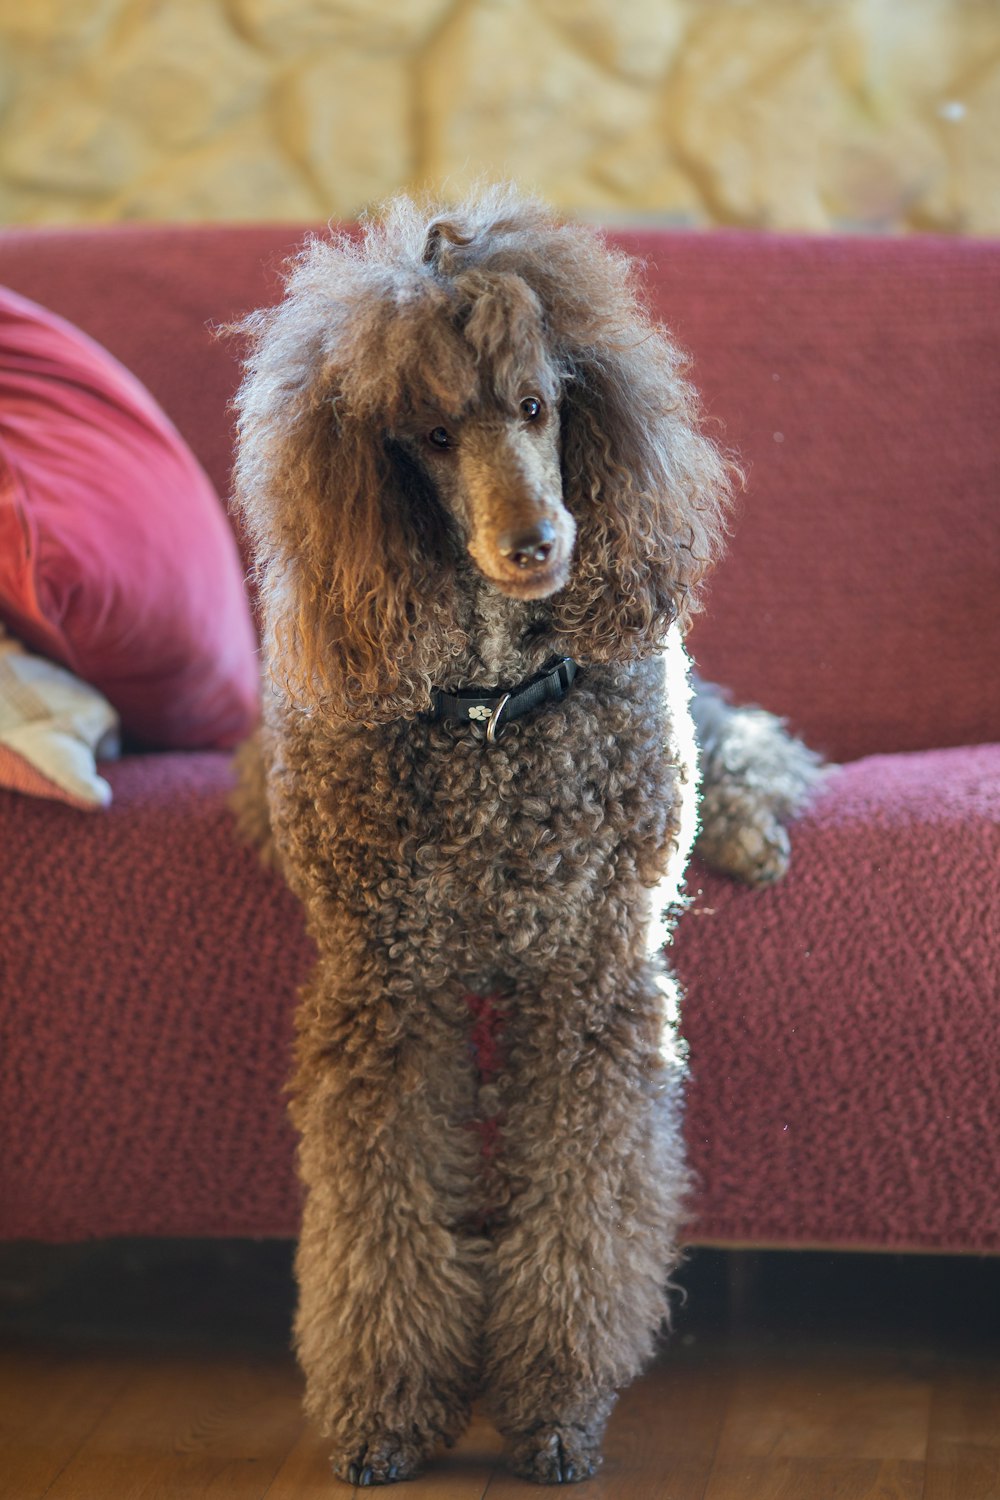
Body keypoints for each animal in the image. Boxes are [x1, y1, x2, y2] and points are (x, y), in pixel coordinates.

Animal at [232, 190, 821, 1488]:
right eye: (431, 434)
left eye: (541, 407)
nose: (541, 543)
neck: (496, 715)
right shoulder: (385, 994)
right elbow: (380, 1215)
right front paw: (388, 1410)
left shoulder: (589, 982)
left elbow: (585, 1210)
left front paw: (556, 1406)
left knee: (747, 737)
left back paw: (749, 827)